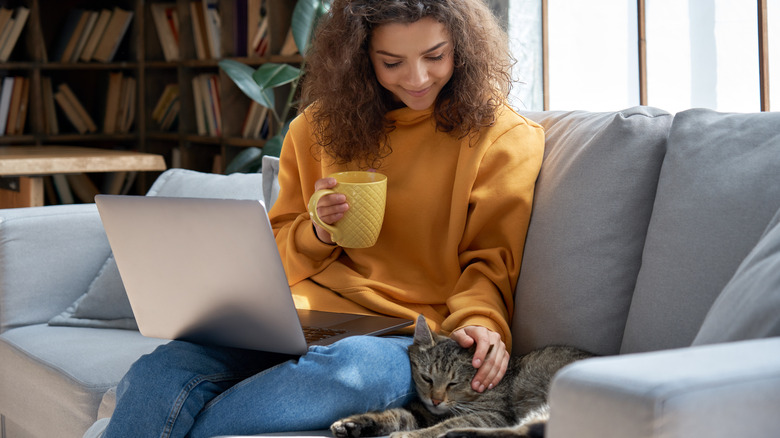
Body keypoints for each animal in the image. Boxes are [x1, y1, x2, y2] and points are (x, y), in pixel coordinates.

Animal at [330, 314, 592, 438]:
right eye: (427, 378)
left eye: (453, 383)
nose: (436, 400)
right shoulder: (422, 411)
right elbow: (394, 415)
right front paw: (354, 424)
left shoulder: (494, 415)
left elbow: (448, 423)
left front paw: (411, 434)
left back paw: (457, 434)